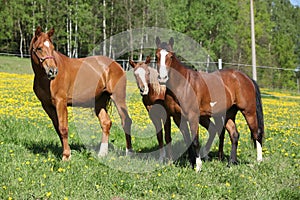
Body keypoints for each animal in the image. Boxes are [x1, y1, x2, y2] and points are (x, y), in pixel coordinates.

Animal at [29, 27, 132, 161]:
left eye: (52, 47)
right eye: (39, 48)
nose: (53, 71)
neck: (46, 80)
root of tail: (117, 65)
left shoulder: (61, 103)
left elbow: (63, 128)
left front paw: (66, 156)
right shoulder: (47, 106)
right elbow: (58, 128)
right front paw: (66, 153)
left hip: (118, 98)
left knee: (126, 121)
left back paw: (129, 152)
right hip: (99, 101)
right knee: (106, 123)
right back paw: (102, 153)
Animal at [156, 37, 264, 170]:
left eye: (170, 56)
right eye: (157, 56)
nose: (162, 78)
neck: (183, 85)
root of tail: (246, 78)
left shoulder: (193, 116)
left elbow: (195, 141)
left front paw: (198, 166)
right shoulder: (178, 118)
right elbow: (187, 140)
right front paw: (192, 162)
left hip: (249, 112)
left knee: (256, 133)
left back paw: (258, 161)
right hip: (229, 113)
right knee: (234, 134)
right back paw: (231, 162)